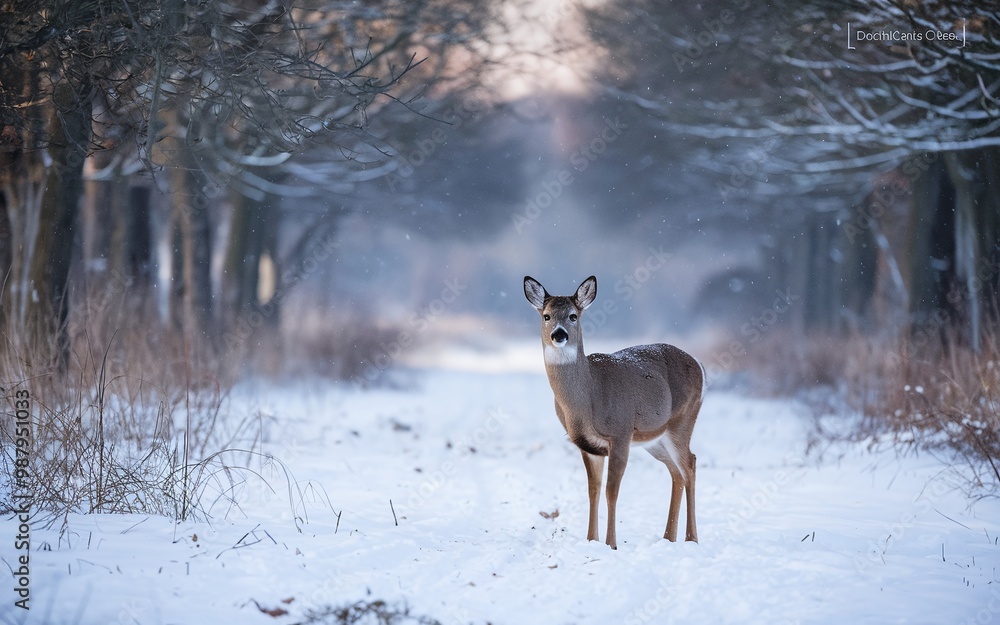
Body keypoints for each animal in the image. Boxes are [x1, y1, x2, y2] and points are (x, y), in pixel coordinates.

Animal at [523, 275, 704, 550]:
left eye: (573, 316)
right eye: (546, 316)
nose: (559, 334)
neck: (587, 400)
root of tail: (700, 365)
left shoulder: (620, 433)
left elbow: (611, 491)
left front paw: (611, 544)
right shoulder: (588, 445)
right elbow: (593, 490)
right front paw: (591, 539)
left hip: (682, 420)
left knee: (690, 464)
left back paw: (692, 539)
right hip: (654, 438)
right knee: (676, 472)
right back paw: (668, 537)